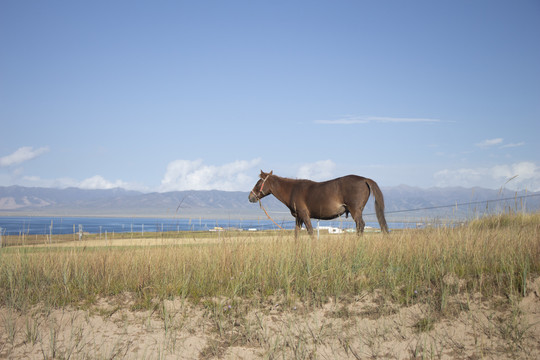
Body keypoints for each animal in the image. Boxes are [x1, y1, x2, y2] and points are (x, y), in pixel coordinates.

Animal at [249, 171, 388, 238]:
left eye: (258, 183)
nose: (250, 197)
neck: (293, 190)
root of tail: (364, 179)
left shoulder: (305, 216)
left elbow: (310, 232)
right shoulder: (298, 218)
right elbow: (296, 234)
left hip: (355, 211)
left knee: (360, 225)